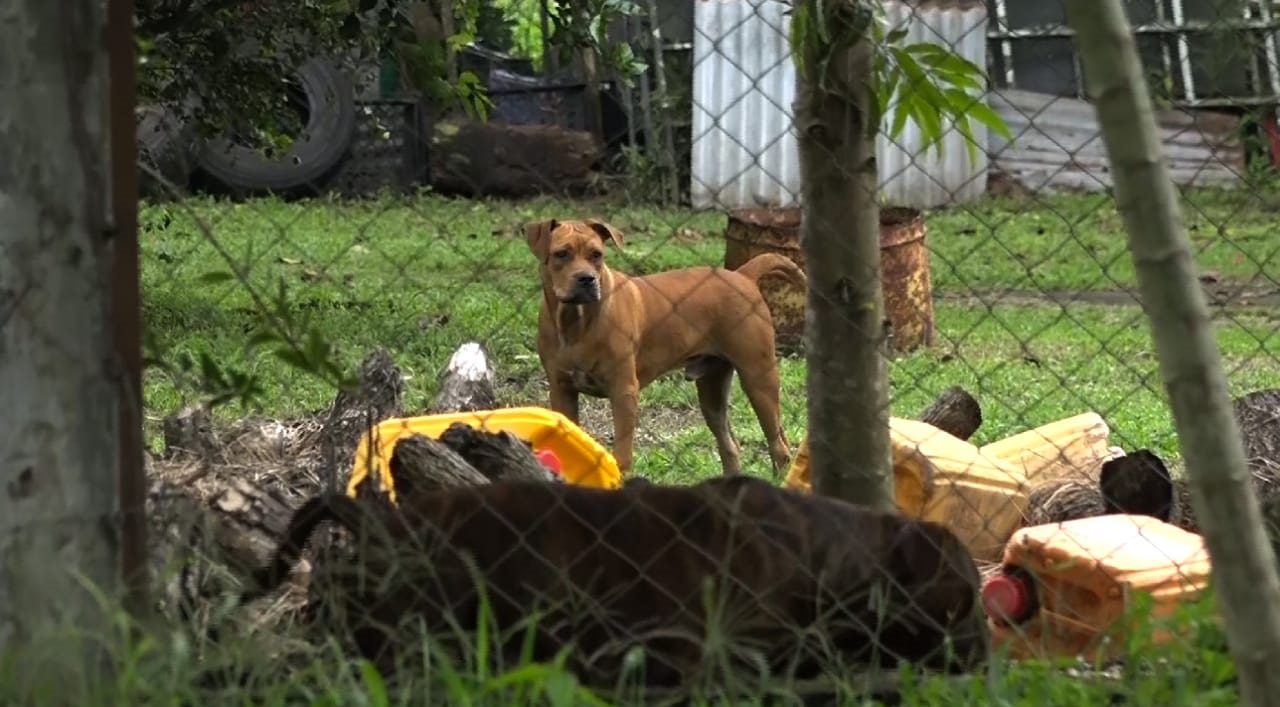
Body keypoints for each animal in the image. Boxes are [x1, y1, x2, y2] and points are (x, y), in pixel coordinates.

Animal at [524, 217, 803, 479]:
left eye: (597, 255)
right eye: (561, 254)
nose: (587, 279)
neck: (576, 321)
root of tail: (743, 275)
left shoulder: (623, 391)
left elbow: (622, 454)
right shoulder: (562, 390)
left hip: (759, 378)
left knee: (779, 445)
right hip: (712, 391)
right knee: (730, 444)